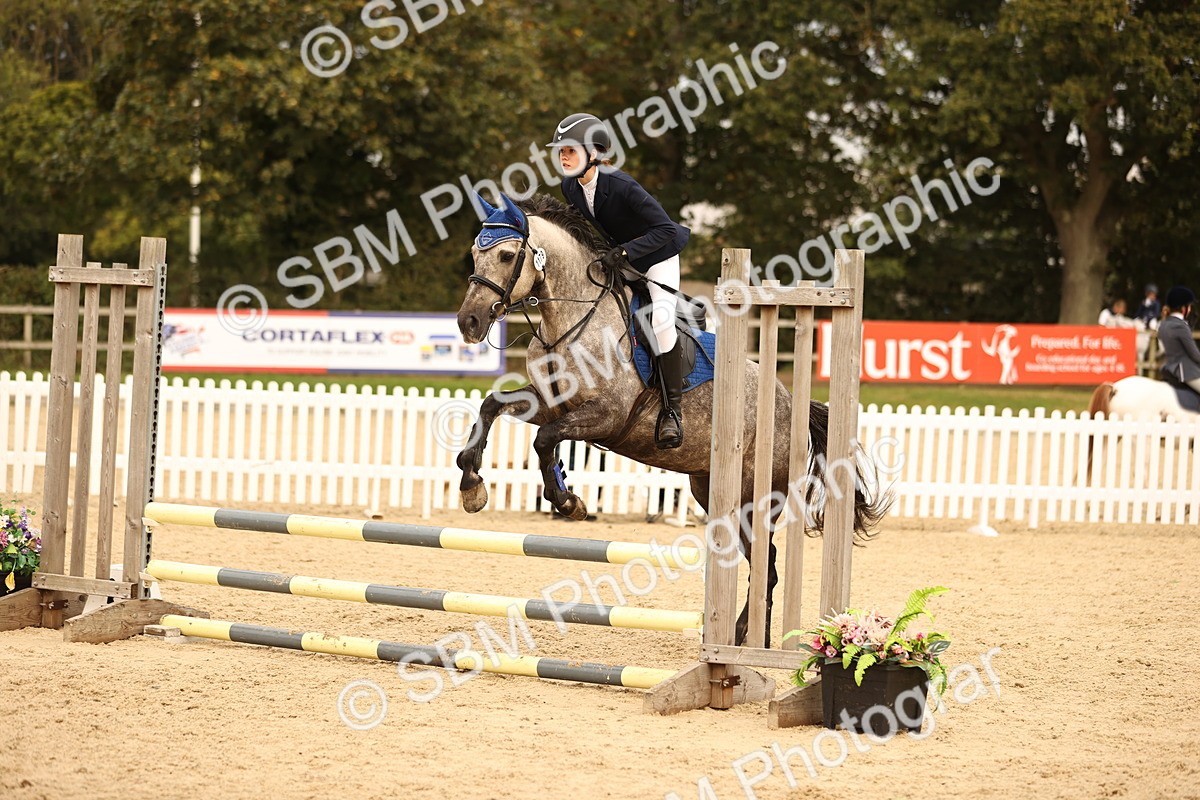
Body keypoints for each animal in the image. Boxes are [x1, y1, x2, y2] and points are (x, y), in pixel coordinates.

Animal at [454, 193, 891, 646]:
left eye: (507, 255)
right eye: (475, 253)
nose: (469, 322)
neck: (572, 324)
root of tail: (791, 401)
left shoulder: (608, 415)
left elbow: (544, 439)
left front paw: (568, 501)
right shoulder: (549, 402)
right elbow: (492, 407)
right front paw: (472, 485)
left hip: (757, 496)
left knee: (765, 564)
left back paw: (751, 639)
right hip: (709, 488)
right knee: (756, 559)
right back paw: (741, 635)